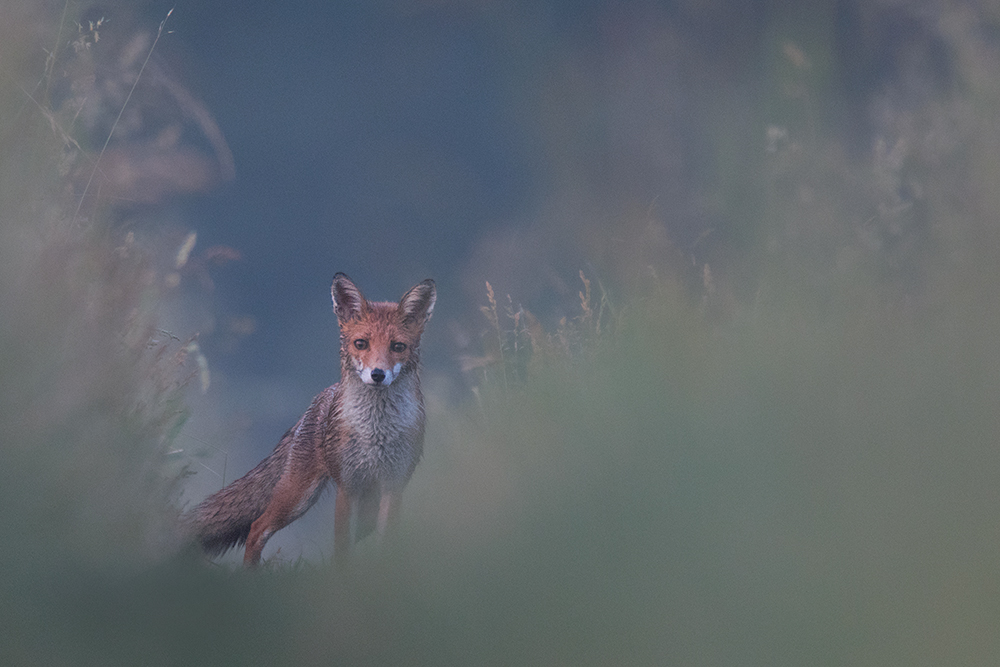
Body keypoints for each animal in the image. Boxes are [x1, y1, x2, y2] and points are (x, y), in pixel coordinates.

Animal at [186, 274, 436, 568]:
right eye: (361, 343)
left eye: (398, 347)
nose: (377, 374)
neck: (375, 430)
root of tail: (321, 396)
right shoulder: (347, 487)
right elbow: (341, 547)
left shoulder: (393, 486)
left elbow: (386, 544)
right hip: (298, 495)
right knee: (257, 528)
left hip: (362, 504)